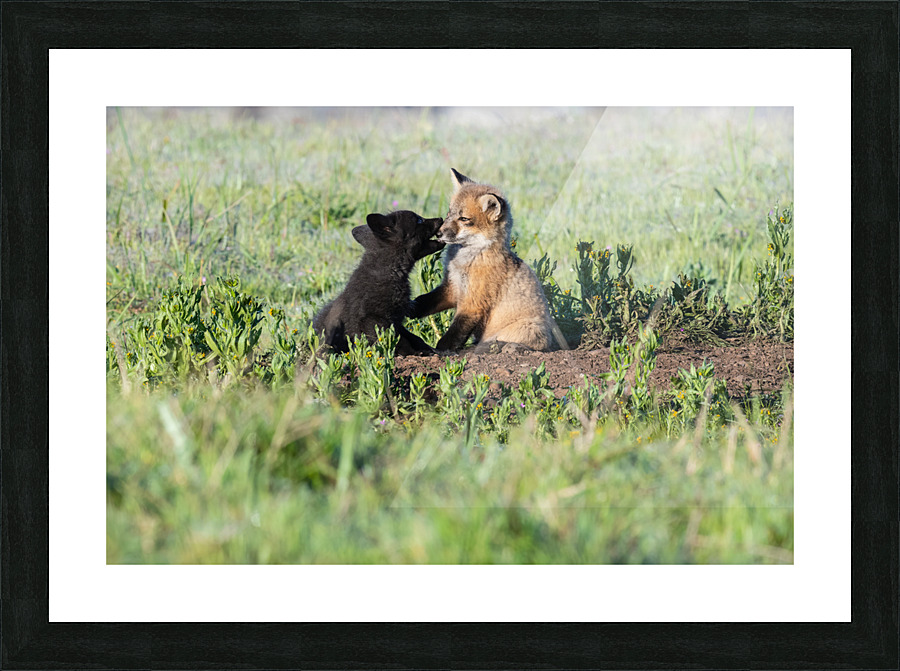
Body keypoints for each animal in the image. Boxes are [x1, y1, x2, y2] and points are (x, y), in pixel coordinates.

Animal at [312, 210, 445, 355]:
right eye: (419, 220)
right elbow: (396, 341)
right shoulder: (373, 319)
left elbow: (413, 338)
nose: (441, 218)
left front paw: (431, 349)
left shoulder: (395, 320)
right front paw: (416, 353)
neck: (390, 271)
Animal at [410, 169, 566, 352]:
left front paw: (439, 351)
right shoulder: (452, 288)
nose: (439, 233)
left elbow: (452, 337)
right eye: (449, 213)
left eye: (464, 219)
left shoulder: (473, 303)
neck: (467, 260)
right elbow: (424, 301)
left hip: (528, 329)